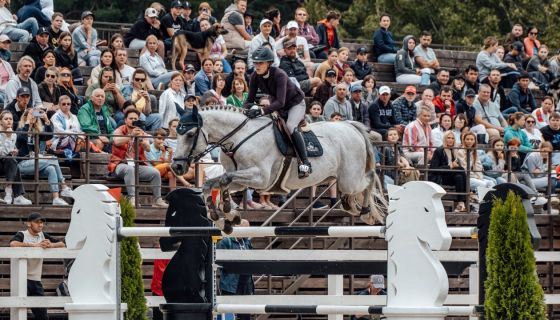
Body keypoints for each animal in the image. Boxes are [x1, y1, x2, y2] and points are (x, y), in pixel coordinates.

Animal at [173, 106, 388, 231]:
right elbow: (213, 184)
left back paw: (366, 212)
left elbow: (224, 180)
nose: (176, 166)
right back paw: (350, 205)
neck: (238, 138)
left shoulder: (260, 178)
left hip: (350, 179)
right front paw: (225, 218)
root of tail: (351, 126)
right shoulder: (241, 181)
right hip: (346, 180)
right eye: (177, 132)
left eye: (190, 134)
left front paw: (227, 214)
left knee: (370, 178)